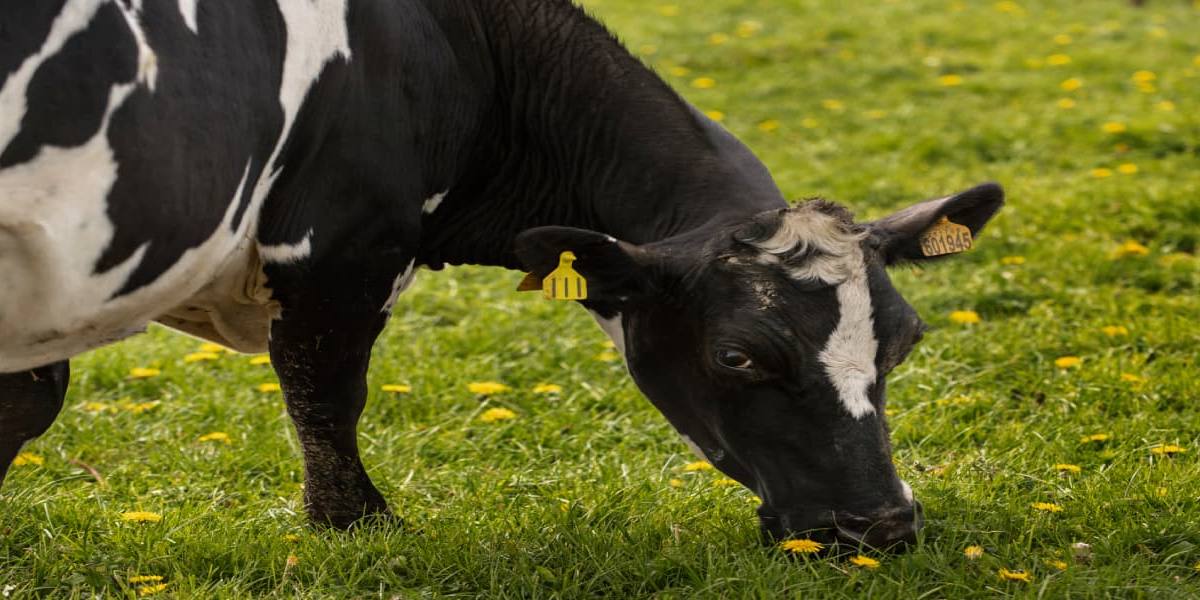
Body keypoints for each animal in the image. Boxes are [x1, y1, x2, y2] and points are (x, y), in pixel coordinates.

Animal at [0, 0, 1003, 551]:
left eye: (905, 341)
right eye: (737, 356)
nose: (880, 526)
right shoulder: (344, 245)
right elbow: (326, 395)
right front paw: (353, 527)